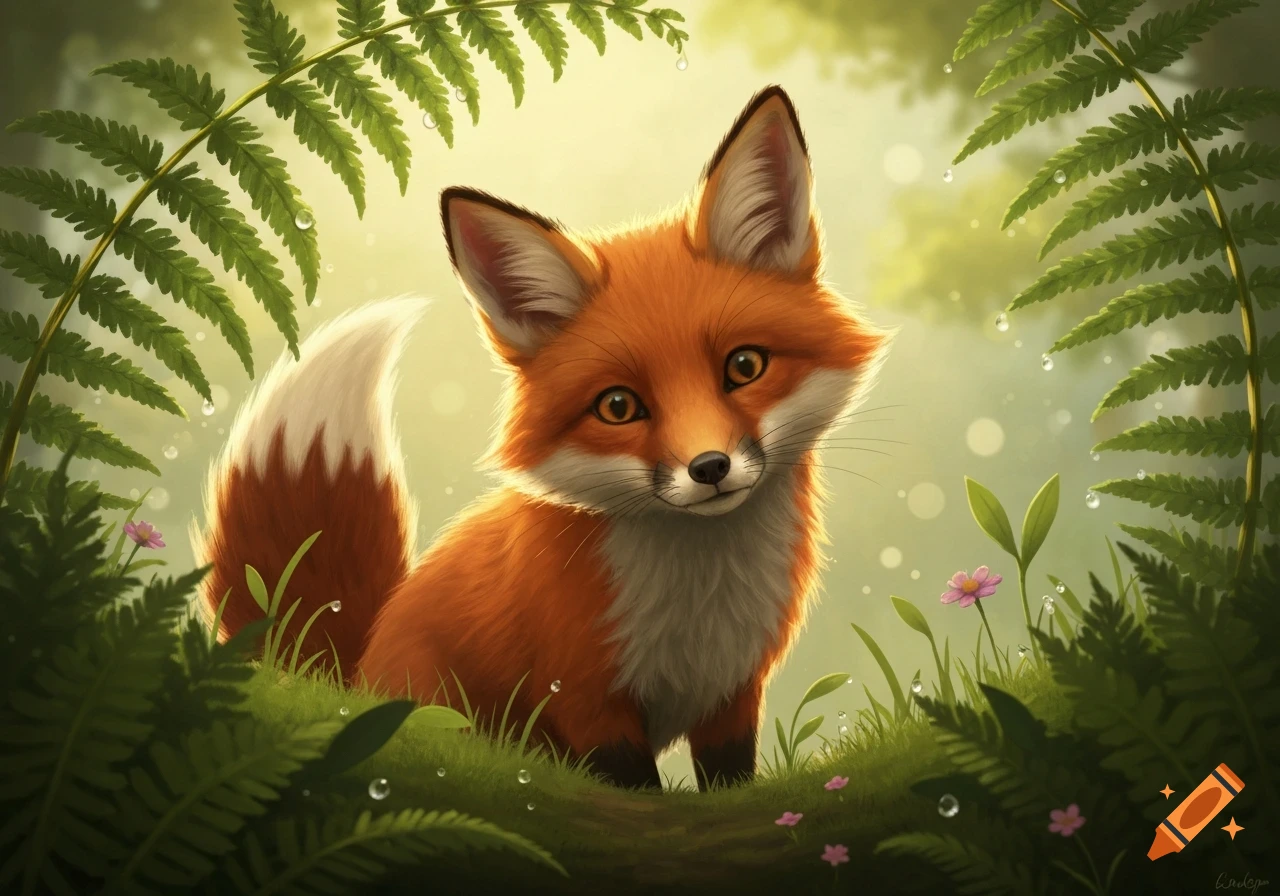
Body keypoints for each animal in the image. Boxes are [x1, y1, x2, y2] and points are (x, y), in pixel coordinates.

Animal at [193, 85, 894, 792]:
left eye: (745, 366)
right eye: (618, 406)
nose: (710, 467)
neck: (698, 603)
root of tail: (357, 668)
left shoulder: (733, 694)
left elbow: (729, 780)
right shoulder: (585, 700)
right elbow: (636, 788)